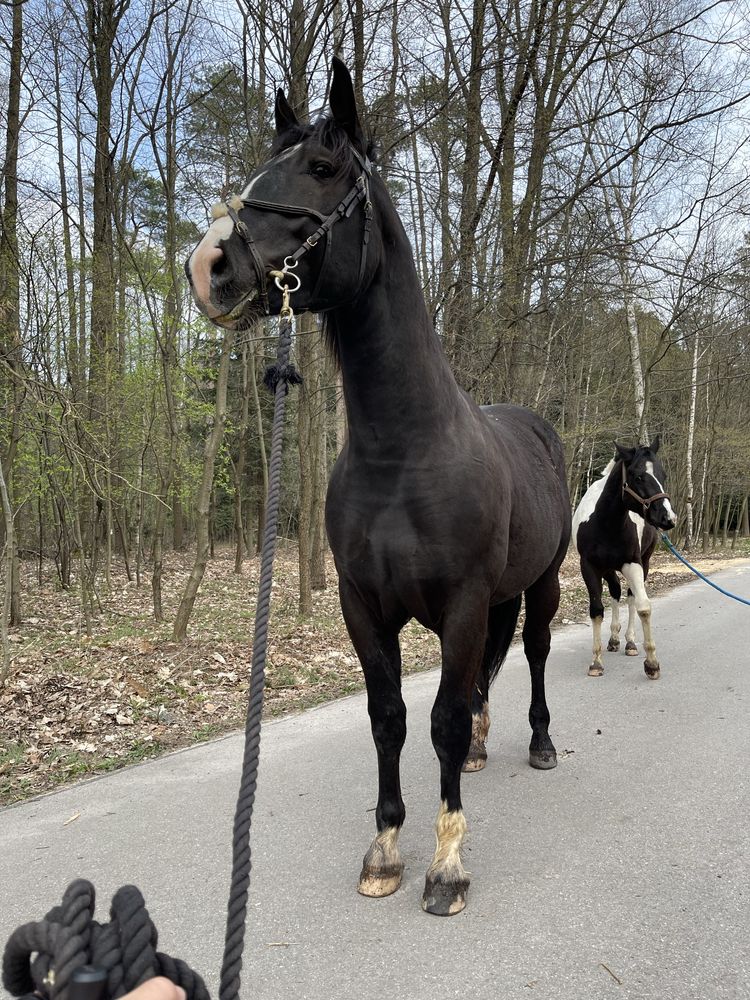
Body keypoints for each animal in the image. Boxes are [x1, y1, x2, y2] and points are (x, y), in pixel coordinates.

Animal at [185, 58, 572, 916]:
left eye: (323, 168)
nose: (209, 265)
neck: (403, 455)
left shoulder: (461, 603)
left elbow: (443, 720)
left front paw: (447, 864)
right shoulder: (362, 606)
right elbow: (390, 718)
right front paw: (387, 850)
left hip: (542, 584)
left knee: (530, 653)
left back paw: (538, 742)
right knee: (490, 672)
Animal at [572, 442, 680, 684]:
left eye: (663, 475)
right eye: (638, 476)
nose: (668, 518)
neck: (605, 522)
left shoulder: (633, 564)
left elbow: (643, 607)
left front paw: (652, 663)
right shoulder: (589, 567)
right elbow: (597, 610)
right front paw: (596, 662)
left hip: (643, 563)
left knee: (629, 597)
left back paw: (629, 641)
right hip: (608, 569)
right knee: (615, 591)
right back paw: (613, 638)